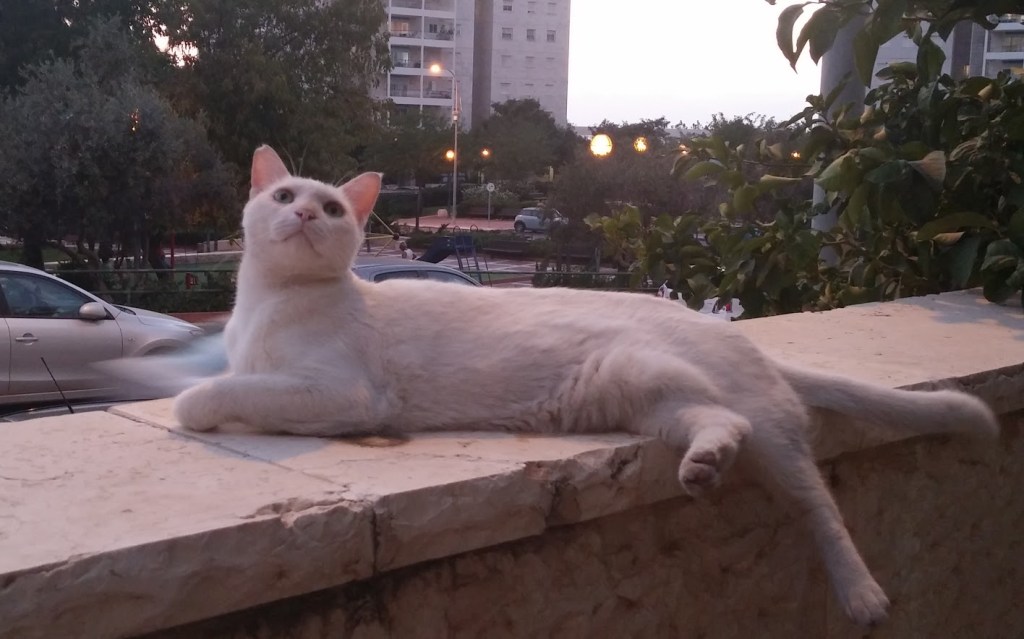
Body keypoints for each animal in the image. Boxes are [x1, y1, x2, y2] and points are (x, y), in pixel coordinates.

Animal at [173, 145, 999, 627]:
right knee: (717, 423)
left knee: (816, 502)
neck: (268, 303)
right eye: (285, 198)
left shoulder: (342, 394)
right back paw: (704, 465)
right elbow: (234, 378)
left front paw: (192, 405)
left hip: (766, 435)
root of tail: (733, 332)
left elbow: (221, 392)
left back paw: (862, 595)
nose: (307, 216)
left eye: (334, 208)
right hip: (649, 392)